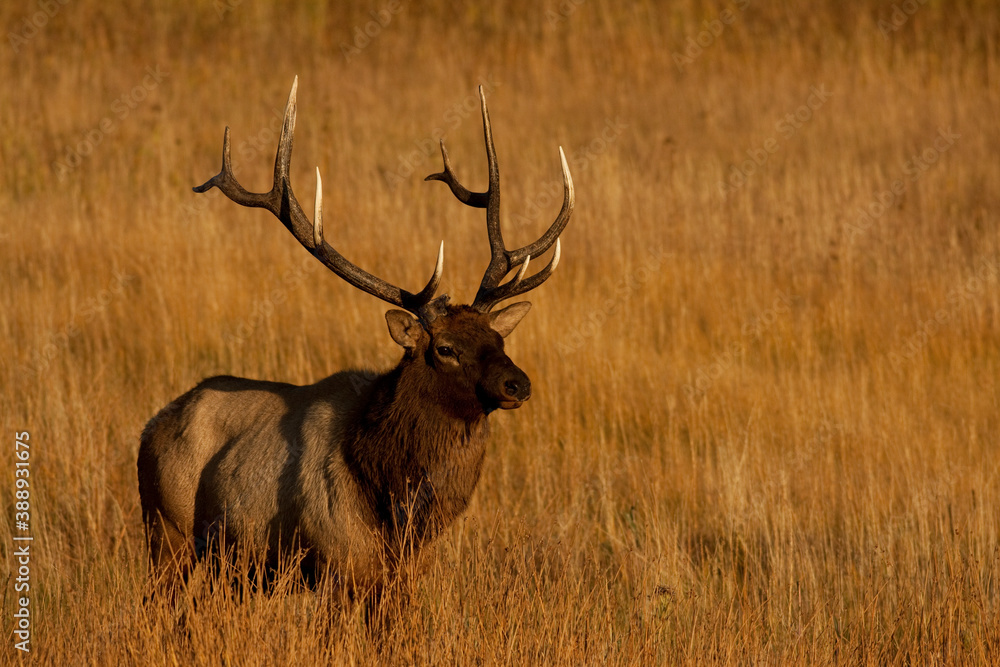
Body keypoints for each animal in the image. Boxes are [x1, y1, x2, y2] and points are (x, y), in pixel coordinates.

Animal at [137, 78, 574, 601]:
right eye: (445, 349)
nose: (517, 384)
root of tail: (149, 429)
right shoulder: (338, 564)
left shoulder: (402, 574)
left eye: (498, 339)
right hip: (168, 533)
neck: (391, 499)